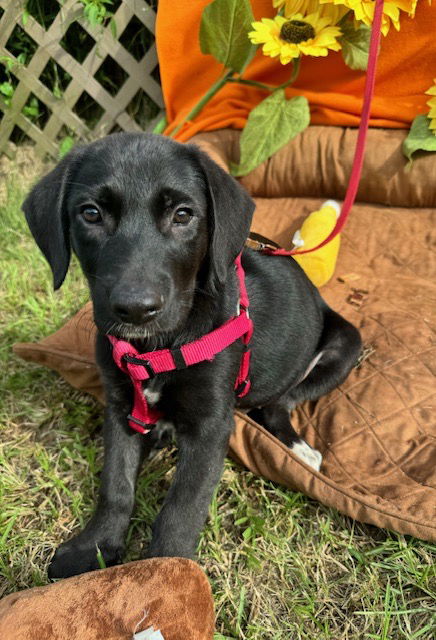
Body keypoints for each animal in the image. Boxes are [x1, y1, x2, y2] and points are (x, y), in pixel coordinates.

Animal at [22, 132, 360, 576]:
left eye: (183, 215)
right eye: (91, 214)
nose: (135, 309)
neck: (159, 346)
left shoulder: (211, 425)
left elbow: (181, 506)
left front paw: (167, 573)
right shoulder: (121, 407)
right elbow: (115, 483)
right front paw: (92, 548)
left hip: (346, 344)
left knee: (277, 404)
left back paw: (298, 448)